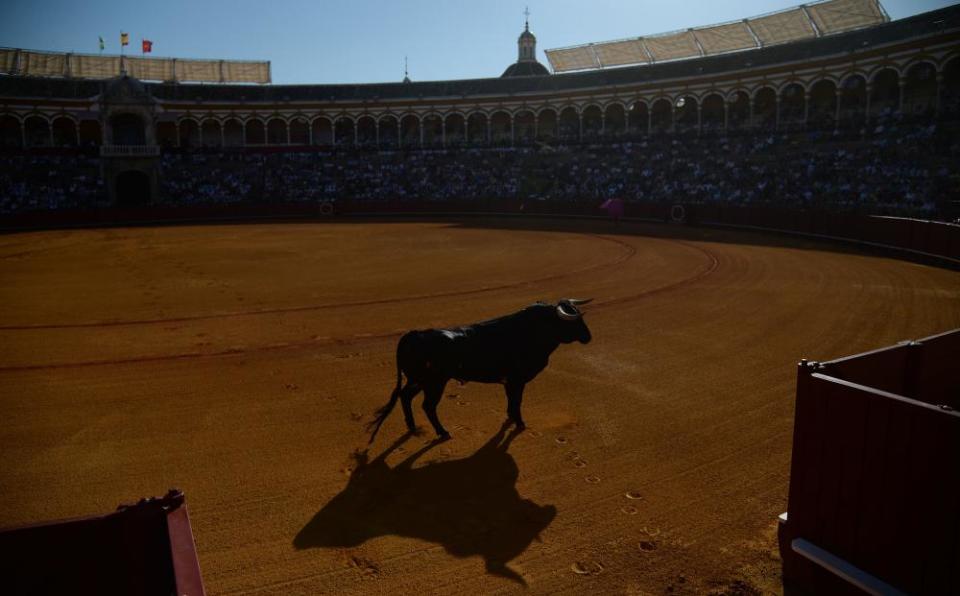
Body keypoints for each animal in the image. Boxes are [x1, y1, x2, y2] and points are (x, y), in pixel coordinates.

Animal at [370, 298, 588, 442]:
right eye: (574, 320)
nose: (588, 336)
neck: (532, 331)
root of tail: (414, 335)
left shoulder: (509, 381)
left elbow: (511, 401)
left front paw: (511, 417)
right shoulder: (517, 380)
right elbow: (517, 401)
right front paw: (520, 423)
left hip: (417, 380)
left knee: (405, 396)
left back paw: (412, 426)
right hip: (434, 382)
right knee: (428, 406)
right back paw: (443, 432)